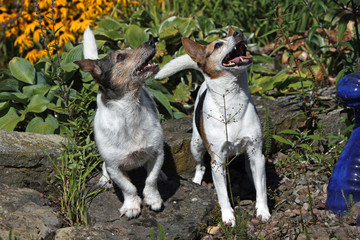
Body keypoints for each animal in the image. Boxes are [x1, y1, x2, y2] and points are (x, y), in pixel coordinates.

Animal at [76, 27, 167, 218]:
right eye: (120, 57)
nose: (151, 41)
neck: (129, 111)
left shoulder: (156, 153)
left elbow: (151, 179)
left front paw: (153, 199)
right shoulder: (115, 167)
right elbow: (128, 187)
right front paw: (132, 206)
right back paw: (105, 179)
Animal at [155, 27, 270, 226]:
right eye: (217, 45)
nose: (238, 32)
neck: (232, 99)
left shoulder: (256, 153)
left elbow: (261, 188)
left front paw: (262, 210)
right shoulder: (217, 162)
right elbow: (223, 195)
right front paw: (228, 216)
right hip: (196, 145)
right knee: (200, 166)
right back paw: (196, 180)